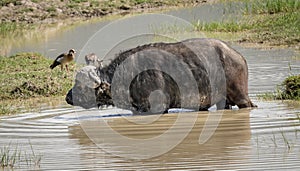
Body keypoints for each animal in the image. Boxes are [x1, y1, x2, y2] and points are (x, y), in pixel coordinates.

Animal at [65, 38, 255, 113]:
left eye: (80, 85)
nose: (68, 97)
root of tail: (237, 56)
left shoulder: (158, 108)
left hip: (241, 97)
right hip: (223, 101)